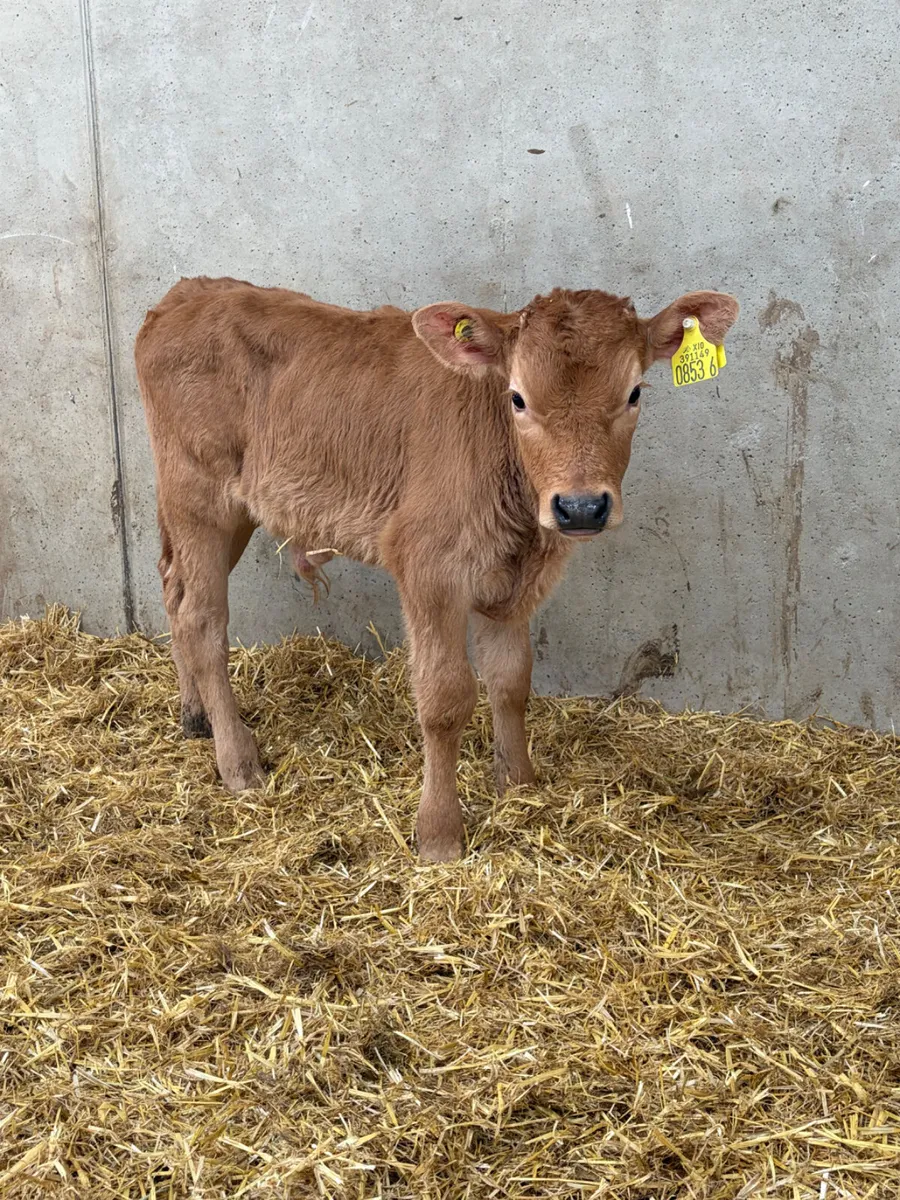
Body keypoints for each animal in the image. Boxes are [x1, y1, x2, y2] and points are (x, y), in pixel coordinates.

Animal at [135, 277, 738, 862]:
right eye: (517, 397)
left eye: (633, 393)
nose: (582, 507)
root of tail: (186, 294)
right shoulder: (428, 565)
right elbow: (446, 699)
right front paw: (439, 834)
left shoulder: (514, 580)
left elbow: (511, 679)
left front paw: (518, 786)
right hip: (199, 498)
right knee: (202, 619)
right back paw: (239, 763)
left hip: (228, 512)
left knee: (173, 590)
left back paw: (195, 718)